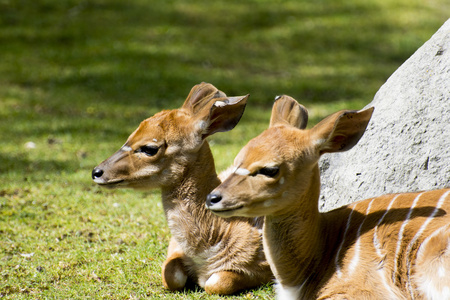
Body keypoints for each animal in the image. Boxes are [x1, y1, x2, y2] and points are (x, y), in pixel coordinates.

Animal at [90, 82, 270, 296]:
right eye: (128, 137)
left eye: (149, 148)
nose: (97, 172)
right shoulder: (174, 248)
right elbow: (171, 276)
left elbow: (217, 282)